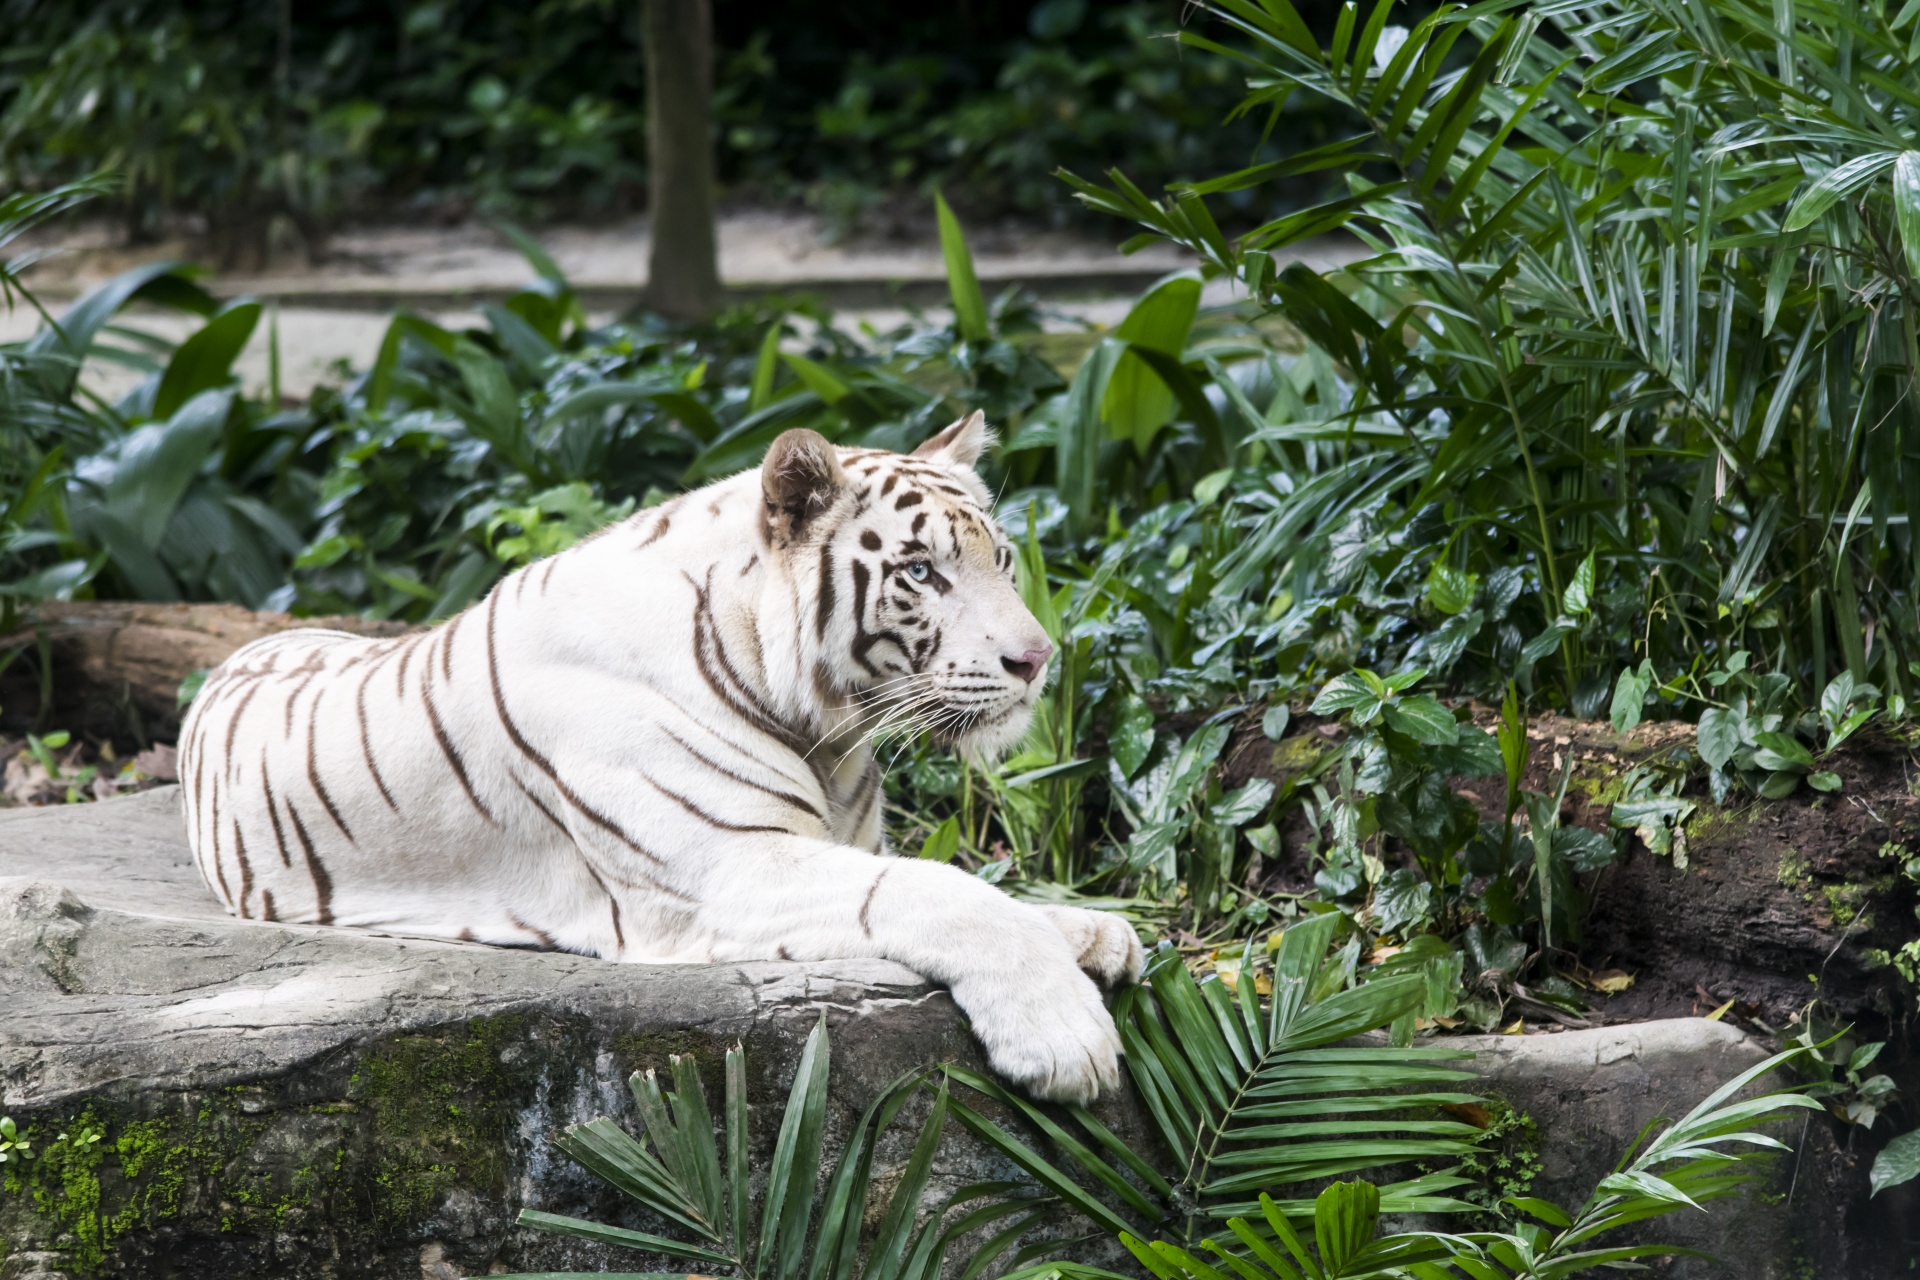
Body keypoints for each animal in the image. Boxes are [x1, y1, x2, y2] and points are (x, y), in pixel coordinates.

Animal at [176, 412, 1136, 1105]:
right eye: (921, 573)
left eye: (1003, 562)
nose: (1037, 659)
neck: (820, 725)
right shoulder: (725, 867)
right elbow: (940, 894)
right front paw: (1065, 1037)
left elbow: (984, 891)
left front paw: (1099, 934)